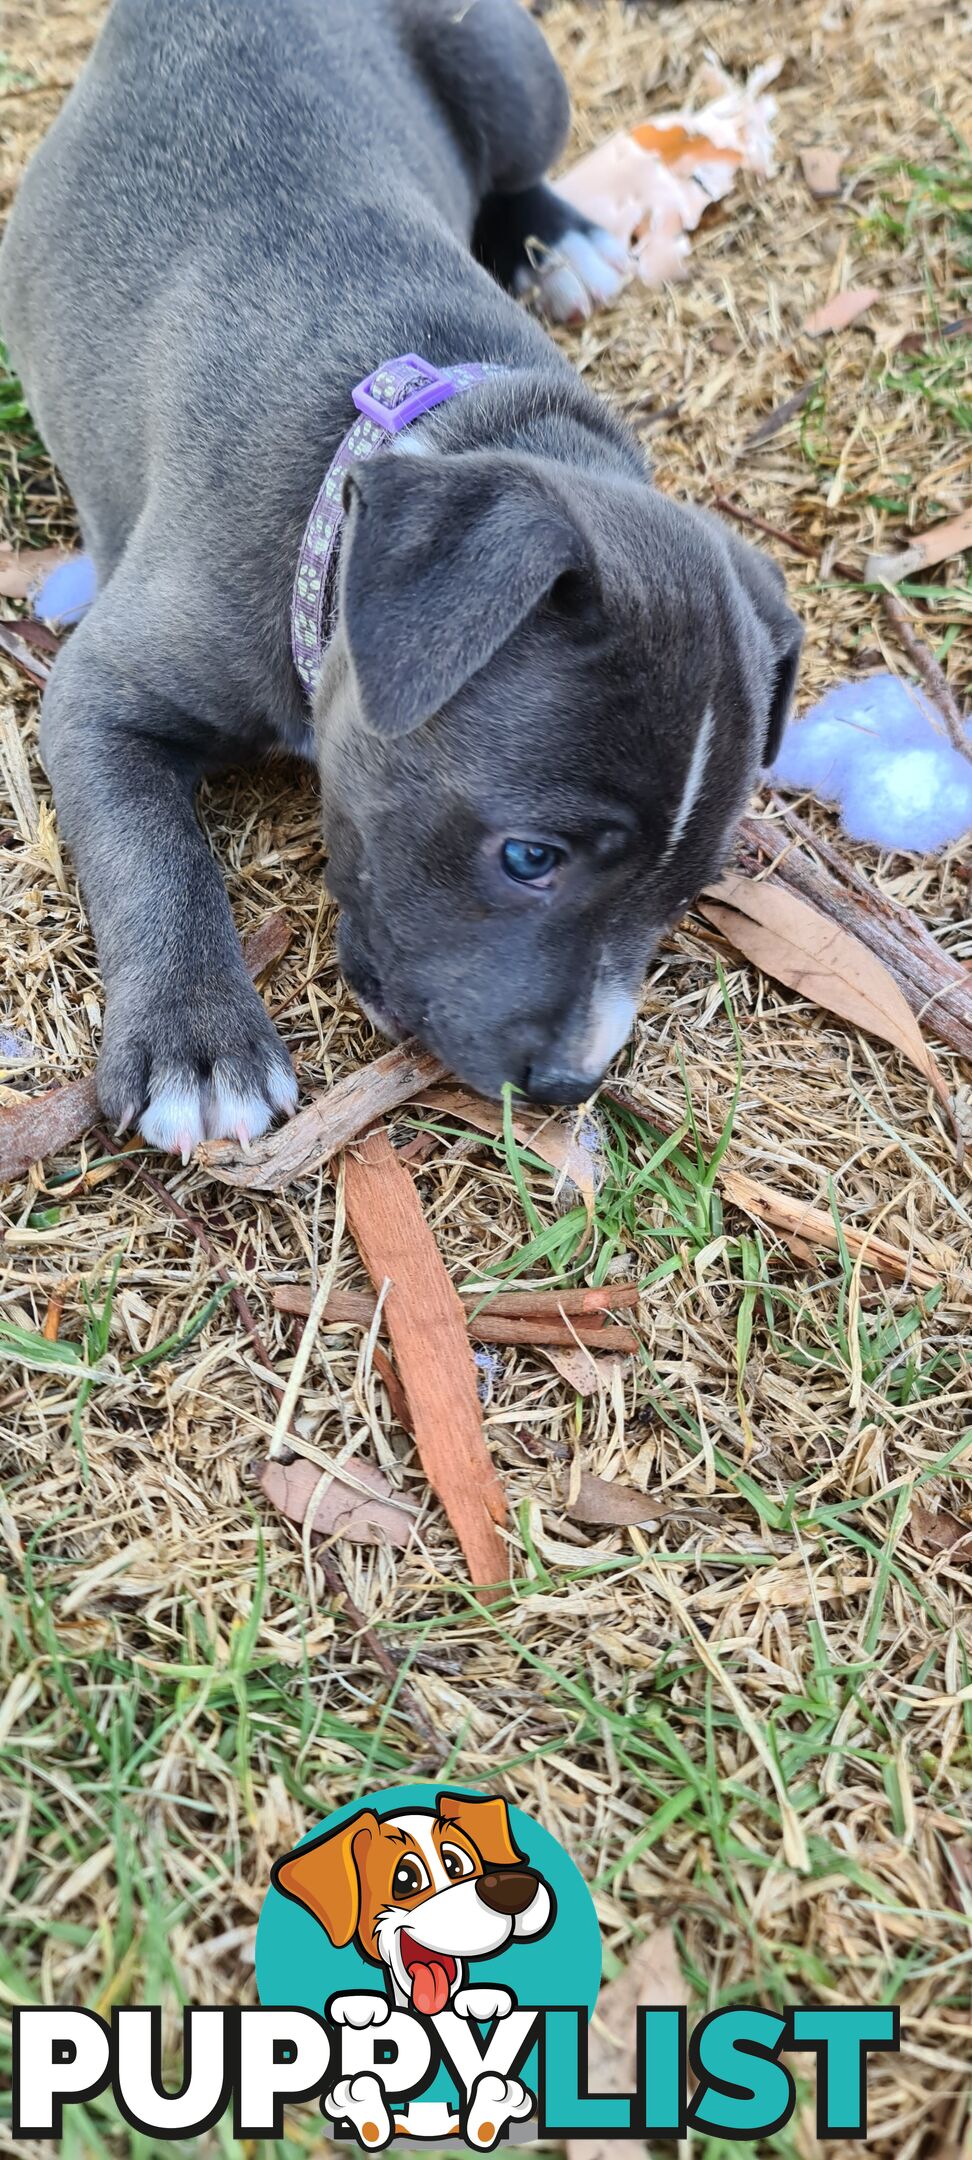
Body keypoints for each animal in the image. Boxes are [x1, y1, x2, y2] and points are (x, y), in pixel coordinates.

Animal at [0, 0, 799, 1157]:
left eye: (692, 893)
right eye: (529, 858)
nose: (570, 1085)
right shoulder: (98, 695)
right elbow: (152, 854)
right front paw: (199, 1041)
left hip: (515, 73)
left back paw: (560, 241)